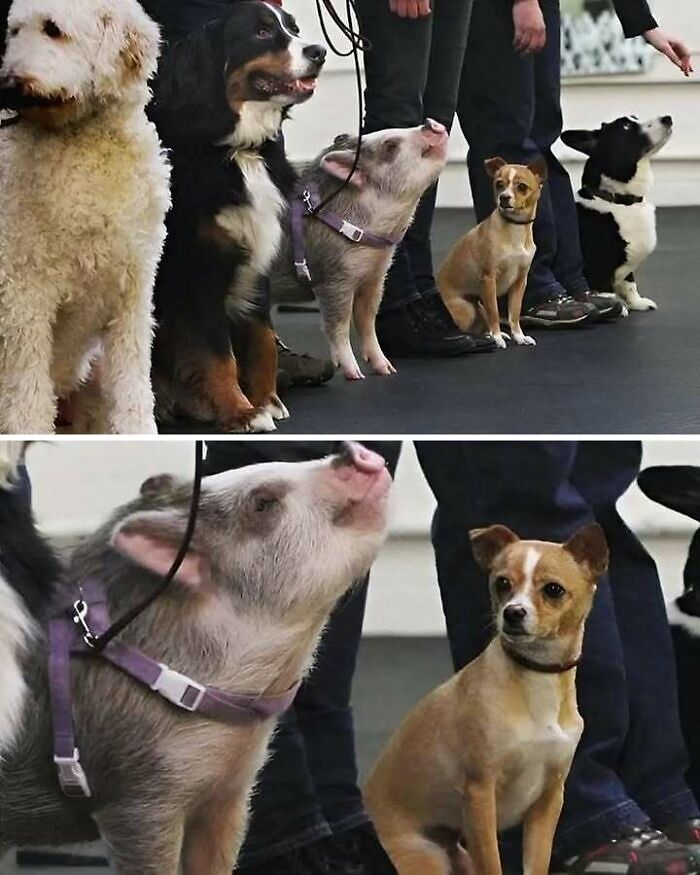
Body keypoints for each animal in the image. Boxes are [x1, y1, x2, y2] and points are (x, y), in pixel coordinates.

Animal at [0, 0, 171, 434]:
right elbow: (27, 384)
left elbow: (132, 381)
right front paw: (27, 429)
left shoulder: (133, 291)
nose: (6, 86)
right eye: (14, 32)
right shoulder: (25, 289)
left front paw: (138, 430)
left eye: (53, 29)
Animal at [150, 1, 326, 432]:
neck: (237, 151)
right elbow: (217, 353)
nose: (319, 52)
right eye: (261, 33)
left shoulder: (257, 259)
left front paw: (267, 400)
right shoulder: (198, 273)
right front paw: (240, 411)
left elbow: (262, 339)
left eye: (292, 27)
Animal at [274, 122, 448, 380]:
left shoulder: (376, 276)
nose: (430, 123)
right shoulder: (333, 277)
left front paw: (387, 369)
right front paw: (355, 375)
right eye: (390, 146)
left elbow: (367, 320)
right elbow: (338, 323)